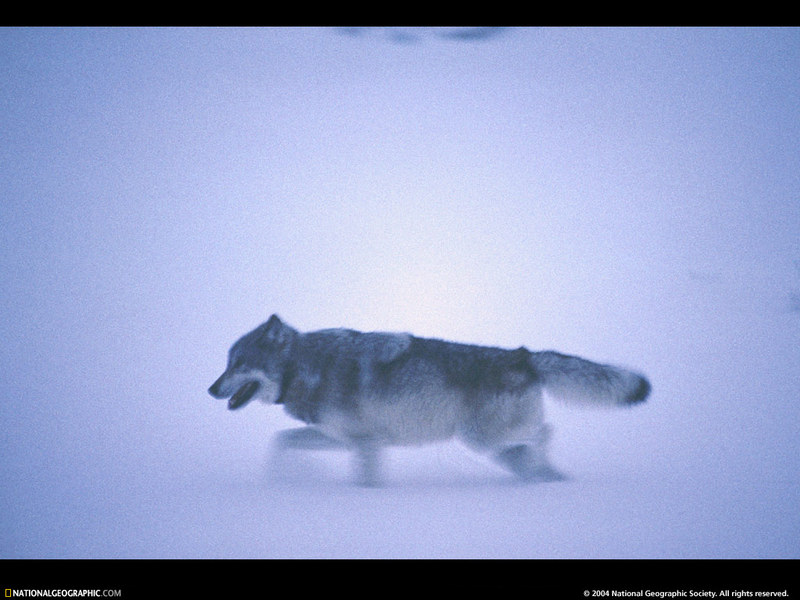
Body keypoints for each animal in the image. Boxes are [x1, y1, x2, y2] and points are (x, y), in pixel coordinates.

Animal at [208, 316, 648, 486]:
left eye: (239, 364)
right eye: (226, 363)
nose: (211, 389)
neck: (306, 366)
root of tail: (524, 355)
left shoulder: (365, 444)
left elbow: (366, 480)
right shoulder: (345, 440)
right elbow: (281, 441)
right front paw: (278, 477)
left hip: (481, 438)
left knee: (545, 433)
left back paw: (544, 472)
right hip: (490, 443)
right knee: (533, 451)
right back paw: (546, 478)